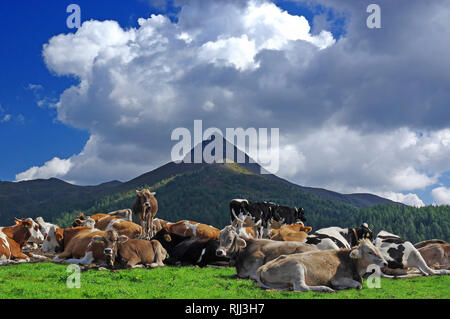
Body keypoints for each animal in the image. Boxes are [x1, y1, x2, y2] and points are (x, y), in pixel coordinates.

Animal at [255, 239, 388, 294]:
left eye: (376, 248)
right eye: (370, 252)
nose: (385, 263)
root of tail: (262, 267)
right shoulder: (336, 278)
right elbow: (358, 285)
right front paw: (341, 287)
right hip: (297, 266)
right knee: (301, 287)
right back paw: (326, 289)